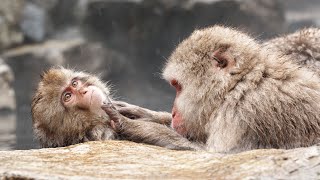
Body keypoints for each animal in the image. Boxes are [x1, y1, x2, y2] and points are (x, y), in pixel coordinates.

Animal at [103, 26, 320, 153]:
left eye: (178, 86)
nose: (173, 113)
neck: (237, 87)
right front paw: (145, 115)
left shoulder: (246, 114)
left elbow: (215, 155)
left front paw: (134, 126)